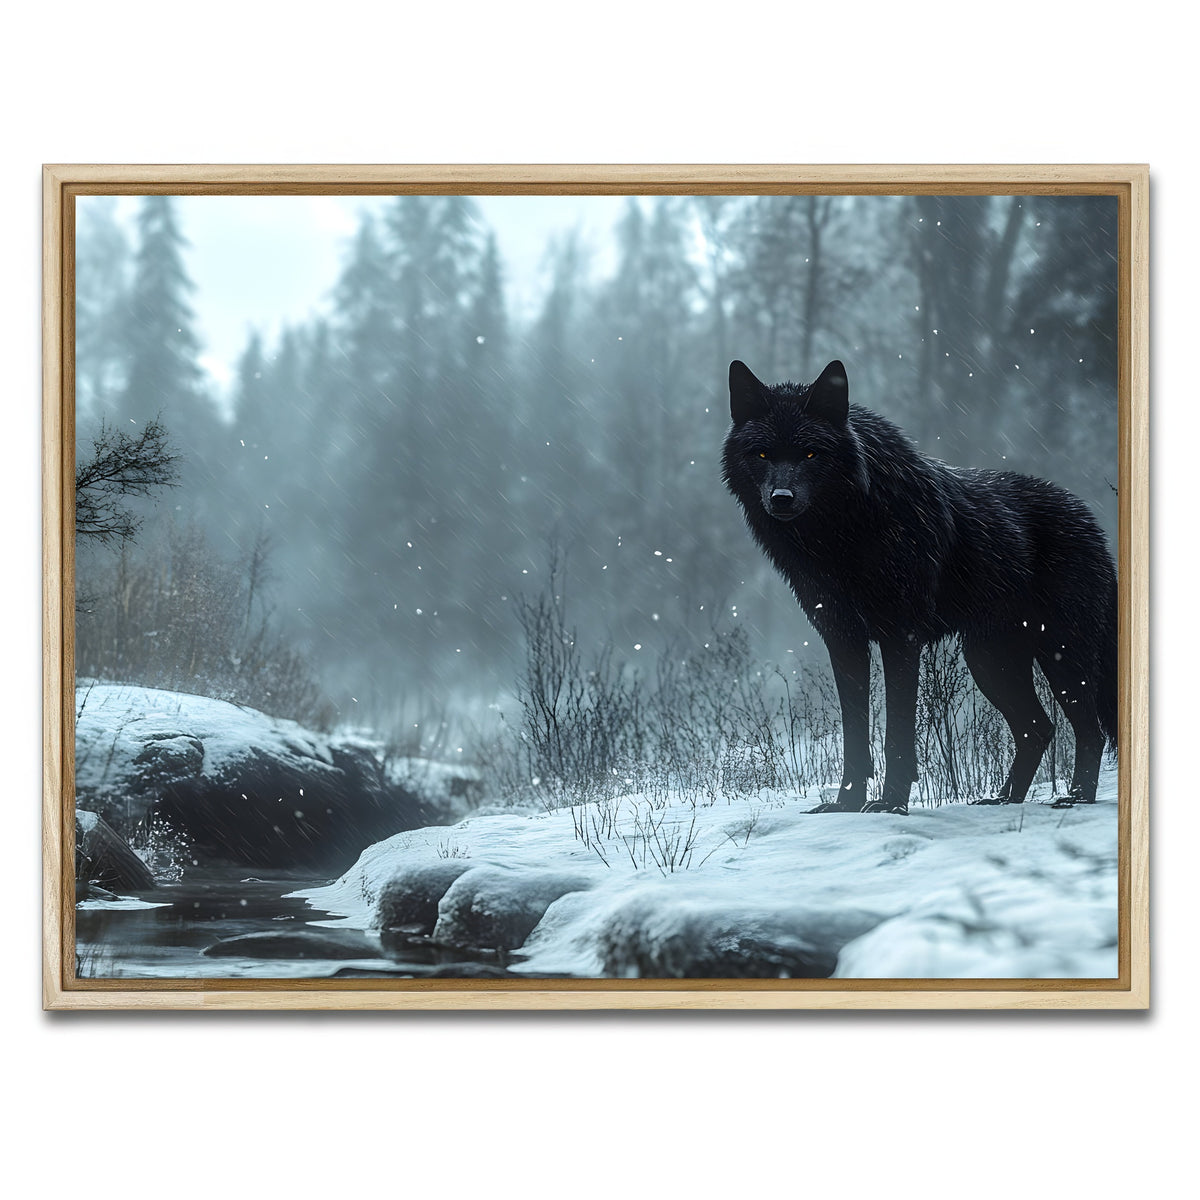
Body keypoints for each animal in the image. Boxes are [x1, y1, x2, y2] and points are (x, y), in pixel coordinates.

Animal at [722, 359, 1118, 814]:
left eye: (809, 453)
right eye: (762, 453)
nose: (781, 498)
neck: (841, 537)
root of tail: (1092, 521)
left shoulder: (901, 637)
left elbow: (896, 732)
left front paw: (891, 803)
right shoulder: (843, 640)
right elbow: (855, 736)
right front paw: (845, 804)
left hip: (1060, 655)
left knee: (1089, 731)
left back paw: (1076, 798)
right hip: (989, 661)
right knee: (1038, 728)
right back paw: (1003, 800)